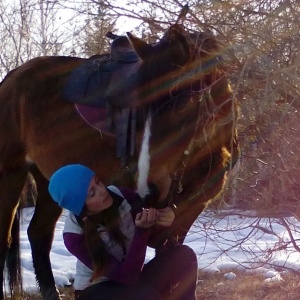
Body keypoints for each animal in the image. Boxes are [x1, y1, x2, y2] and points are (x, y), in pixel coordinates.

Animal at [0, 24, 239, 300]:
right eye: (139, 110)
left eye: (184, 103)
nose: (149, 190)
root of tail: (12, 76)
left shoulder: (188, 210)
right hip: (11, 174)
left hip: (50, 179)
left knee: (39, 233)